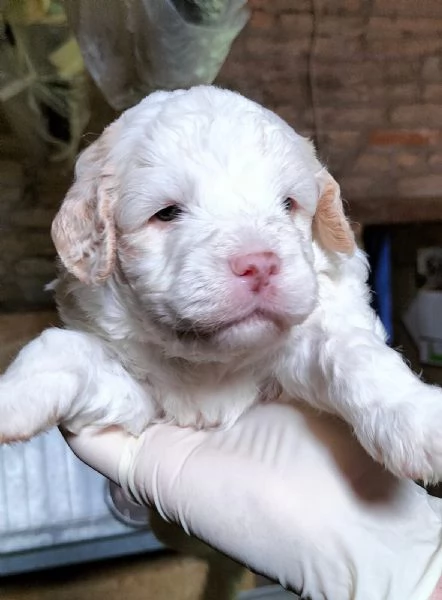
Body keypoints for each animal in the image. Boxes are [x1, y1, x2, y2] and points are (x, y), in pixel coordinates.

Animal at [2, 85, 442, 488]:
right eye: (166, 213)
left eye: (288, 204)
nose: (259, 264)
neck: (211, 363)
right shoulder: (135, 394)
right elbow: (65, 348)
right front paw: (14, 398)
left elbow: (350, 350)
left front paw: (416, 417)